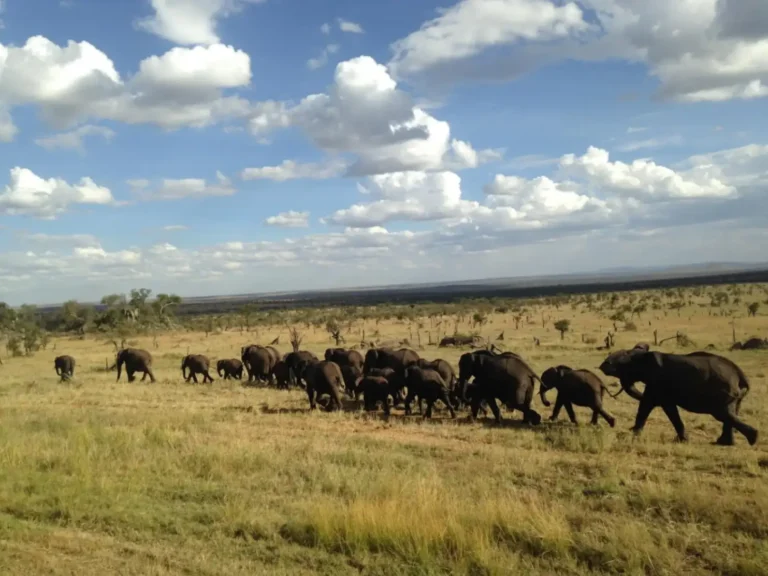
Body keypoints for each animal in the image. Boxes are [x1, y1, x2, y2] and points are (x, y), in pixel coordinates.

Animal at [598, 348, 758, 446]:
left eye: (624, 369)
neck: (640, 355)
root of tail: (740, 374)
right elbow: (651, 404)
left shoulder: (658, 382)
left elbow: (654, 405)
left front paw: (632, 434)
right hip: (733, 394)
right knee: (730, 414)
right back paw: (725, 443)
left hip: (723, 391)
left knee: (722, 414)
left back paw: (752, 438)